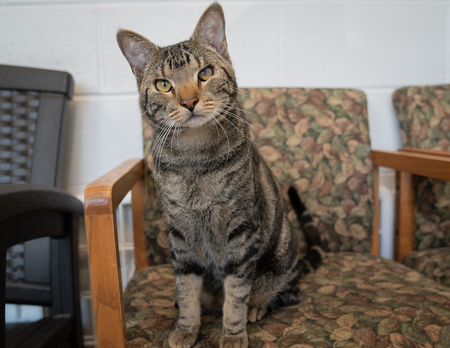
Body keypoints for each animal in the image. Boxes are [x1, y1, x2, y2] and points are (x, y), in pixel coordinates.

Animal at [118, 3, 324, 348]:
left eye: (205, 73)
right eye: (163, 84)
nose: (189, 101)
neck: (195, 160)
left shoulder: (241, 230)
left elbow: (237, 291)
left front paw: (233, 333)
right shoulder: (179, 233)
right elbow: (186, 289)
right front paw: (187, 328)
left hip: (281, 256)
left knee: (283, 294)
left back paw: (257, 306)